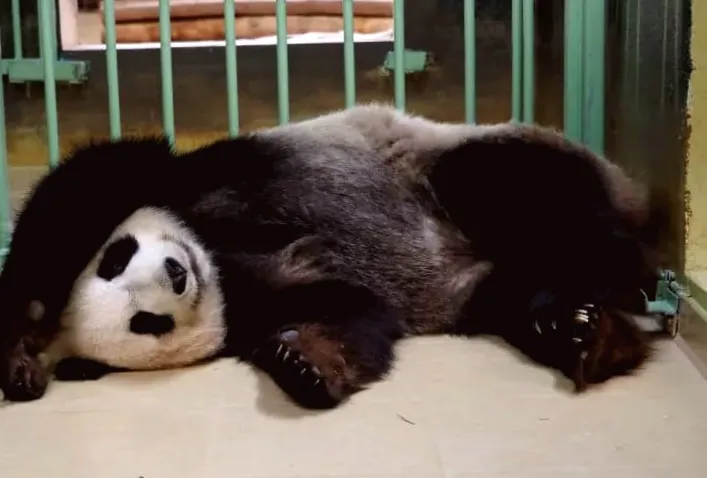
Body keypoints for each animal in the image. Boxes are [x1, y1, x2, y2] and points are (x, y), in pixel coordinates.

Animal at [0, 104, 663, 409]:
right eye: (146, 322)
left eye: (115, 258)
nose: (176, 274)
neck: (216, 257)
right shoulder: (248, 304)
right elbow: (349, 305)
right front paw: (307, 361)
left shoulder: (197, 180)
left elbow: (94, 179)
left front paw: (21, 336)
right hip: (488, 285)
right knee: (519, 293)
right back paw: (587, 335)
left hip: (472, 160)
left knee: (517, 191)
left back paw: (621, 276)